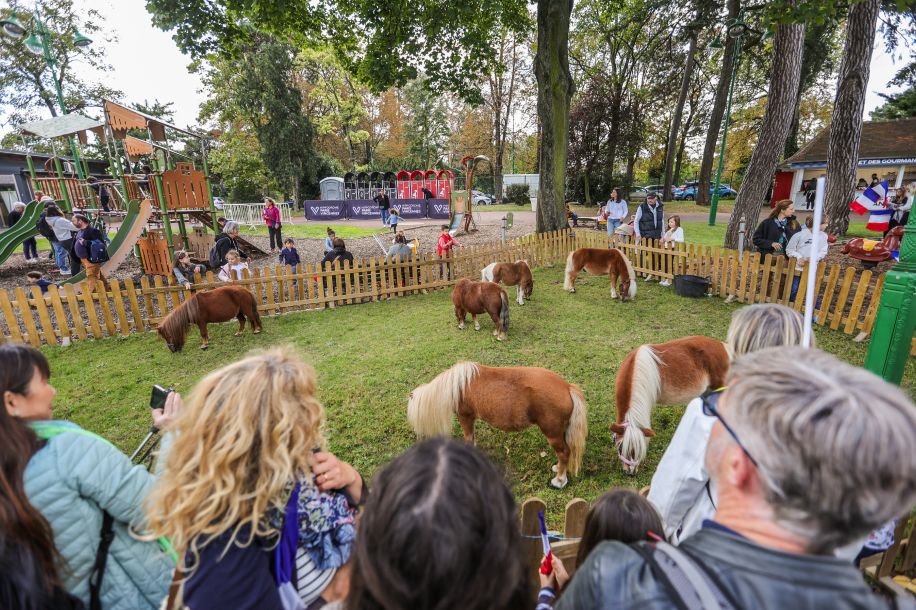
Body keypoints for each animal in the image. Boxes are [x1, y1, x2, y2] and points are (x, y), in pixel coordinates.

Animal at [407, 362, 588, 489]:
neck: (458, 386)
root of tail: (567, 387)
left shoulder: (465, 417)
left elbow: (468, 438)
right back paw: (558, 468)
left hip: (552, 432)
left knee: (564, 452)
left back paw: (559, 480)